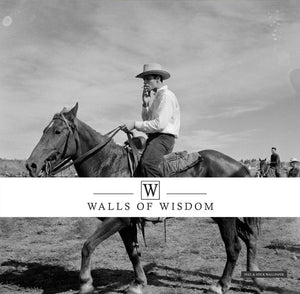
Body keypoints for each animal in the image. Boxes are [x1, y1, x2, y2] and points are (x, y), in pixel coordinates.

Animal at [26, 104, 264, 294]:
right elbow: (132, 253)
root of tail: (240, 166)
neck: (108, 164)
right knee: (249, 237)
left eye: (58, 131)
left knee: (233, 247)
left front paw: (85, 284)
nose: (31, 165)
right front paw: (138, 283)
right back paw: (255, 277)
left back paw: (221, 285)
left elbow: (87, 245)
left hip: (225, 218)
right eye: (44, 130)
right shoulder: (126, 224)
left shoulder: (118, 220)